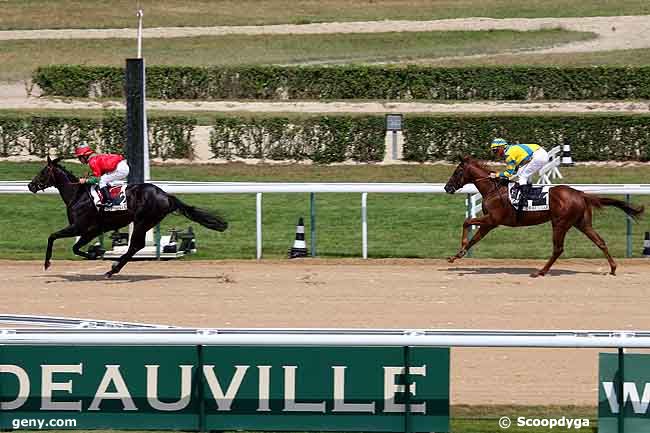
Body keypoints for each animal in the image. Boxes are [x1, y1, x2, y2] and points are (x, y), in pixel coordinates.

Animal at [28, 158, 228, 276]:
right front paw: (95, 253)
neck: (78, 195)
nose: (30, 185)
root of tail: (165, 195)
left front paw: (47, 263)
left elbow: (54, 237)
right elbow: (75, 248)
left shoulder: (81, 227)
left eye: (43, 172)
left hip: (143, 221)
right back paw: (114, 267)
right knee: (136, 246)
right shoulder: (92, 231)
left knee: (136, 245)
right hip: (146, 222)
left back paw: (113, 269)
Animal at [442, 156, 640, 276]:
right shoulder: (489, 223)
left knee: (558, 249)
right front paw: (456, 255)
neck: (493, 189)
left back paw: (541, 272)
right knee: (600, 241)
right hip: (582, 223)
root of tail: (581, 193)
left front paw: (460, 250)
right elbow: (474, 237)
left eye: (457, 172)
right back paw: (613, 268)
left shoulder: (493, 220)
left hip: (560, 223)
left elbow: (467, 222)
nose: (447, 187)